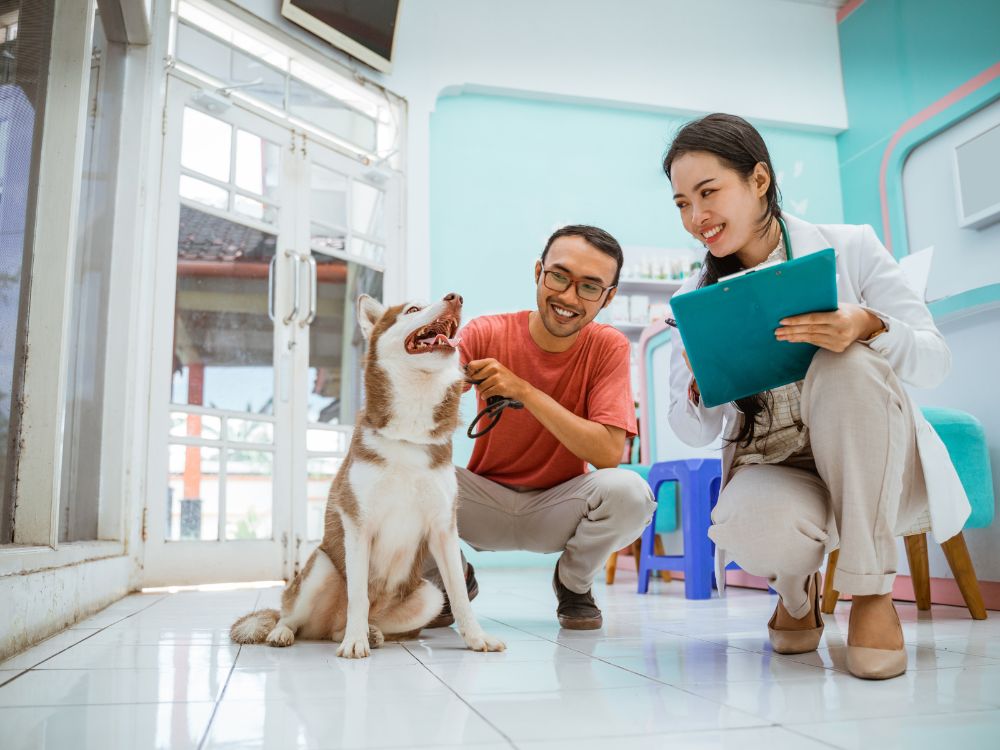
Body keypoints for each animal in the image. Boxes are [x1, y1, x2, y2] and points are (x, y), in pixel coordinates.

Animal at [230, 294, 504, 656]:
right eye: (412, 310)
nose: (455, 297)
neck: (410, 432)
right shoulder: (359, 524)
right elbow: (358, 594)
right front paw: (355, 642)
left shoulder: (443, 528)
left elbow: (459, 594)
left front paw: (476, 638)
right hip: (321, 566)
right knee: (291, 616)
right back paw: (290, 633)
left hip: (428, 595)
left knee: (344, 626)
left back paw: (368, 632)